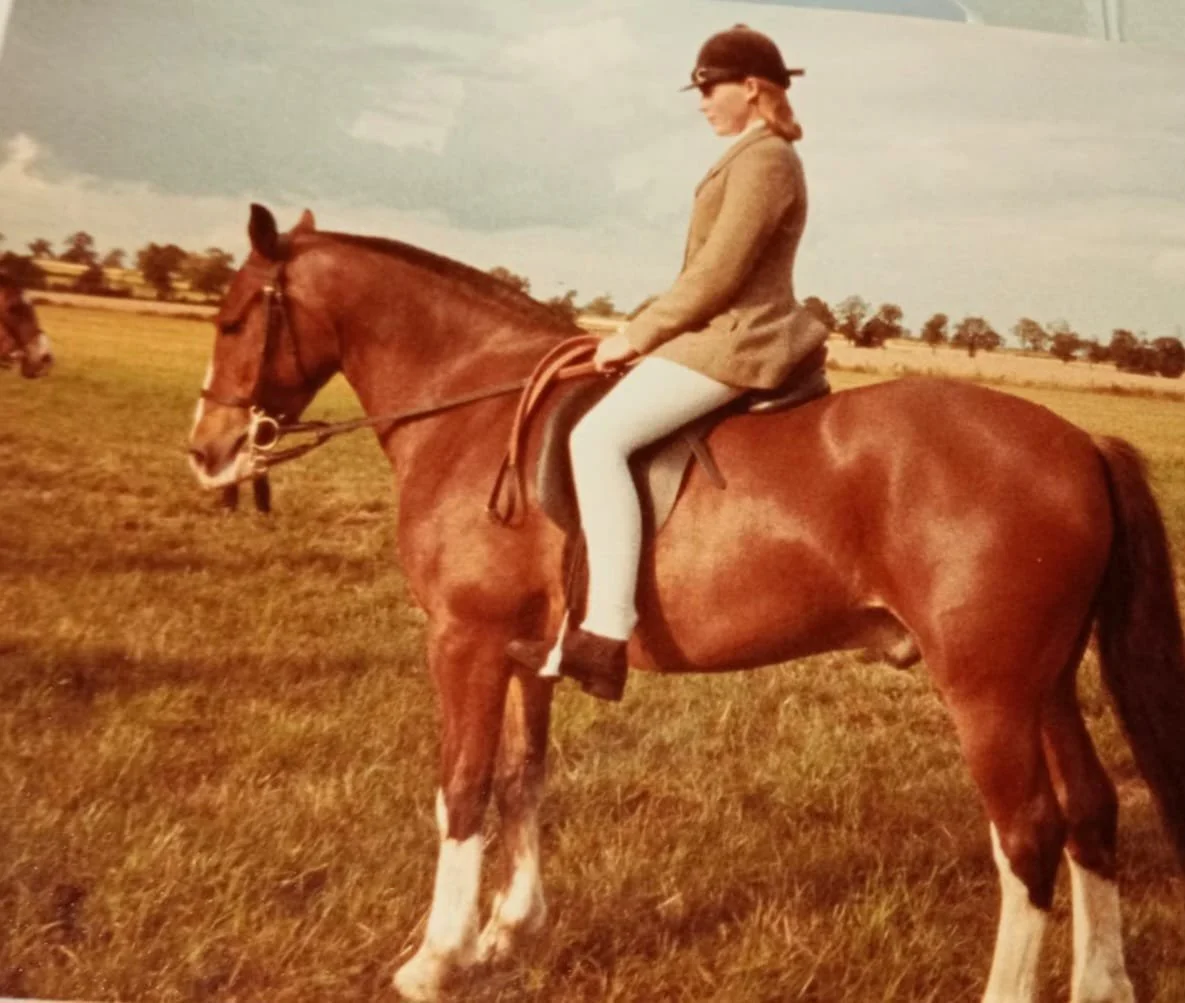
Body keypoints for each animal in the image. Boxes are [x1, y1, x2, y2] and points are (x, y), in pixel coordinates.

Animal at [188, 205, 1185, 1003]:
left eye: (234, 318)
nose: (207, 451)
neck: (472, 408)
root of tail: (1079, 443)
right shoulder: (524, 654)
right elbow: (522, 779)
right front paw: (509, 931)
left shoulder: (463, 642)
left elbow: (462, 790)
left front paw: (436, 959)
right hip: (1043, 687)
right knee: (1091, 813)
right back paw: (1103, 984)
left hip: (987, 694)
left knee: (1028, 835)